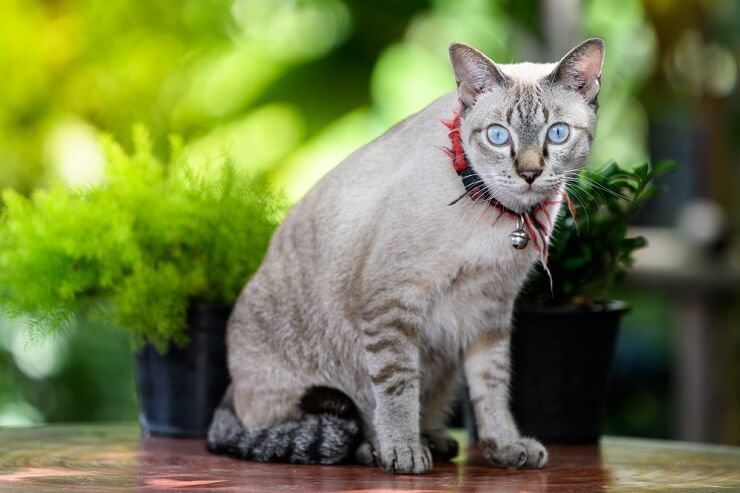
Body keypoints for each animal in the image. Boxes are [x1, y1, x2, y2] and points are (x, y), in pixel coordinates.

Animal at [207, 37, 600, 472]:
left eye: (557, 134)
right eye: (499, 136)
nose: (529, 173)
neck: (503, 217)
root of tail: (230, 392)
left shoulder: (490, 311)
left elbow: (492, 389)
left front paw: (506, 447)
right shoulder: (393, 304)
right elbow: (397, 389)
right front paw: (404, 452)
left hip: (444, 367)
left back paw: (436, 440)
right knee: (327, 430)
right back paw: (383, 449)